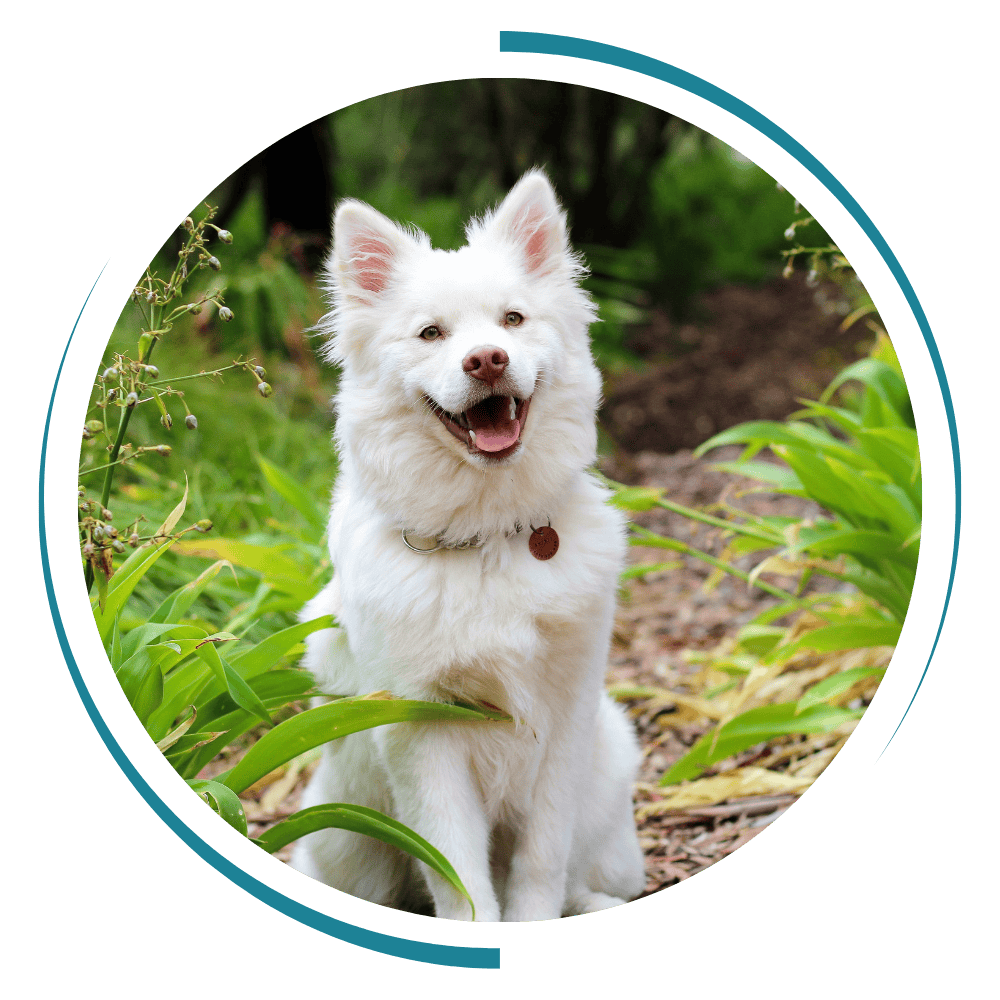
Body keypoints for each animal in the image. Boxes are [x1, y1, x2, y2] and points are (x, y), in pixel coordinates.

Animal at [292, 170, 644, 920]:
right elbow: (458, 873)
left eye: (512, 320)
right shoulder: (422, 733)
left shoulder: (565, 718)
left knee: (580, 876)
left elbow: (541, 861)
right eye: (431, 333)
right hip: (344, 836)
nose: (487, 361)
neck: (488, 537)